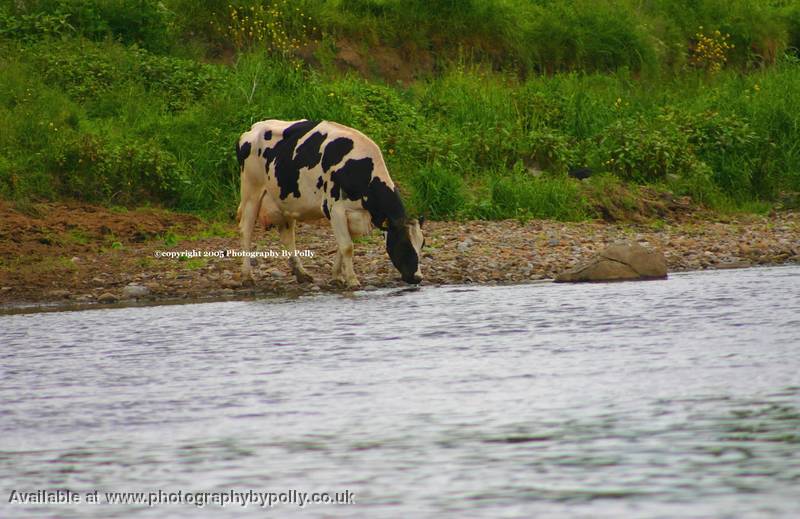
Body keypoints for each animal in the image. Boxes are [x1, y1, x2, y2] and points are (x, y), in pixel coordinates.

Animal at [238, 119, 424, 288]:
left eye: (422, 244)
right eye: (404, 243)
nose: (418, 277)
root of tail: (254, 127)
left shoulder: (355, 215)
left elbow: (343, 246)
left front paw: (337, 277)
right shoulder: (335, 208)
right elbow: (347, 246)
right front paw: (352, 280)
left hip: (285, 202)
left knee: (287, 236)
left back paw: (302, 274)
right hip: (251, 191)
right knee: (246, 230)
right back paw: (247, 277)